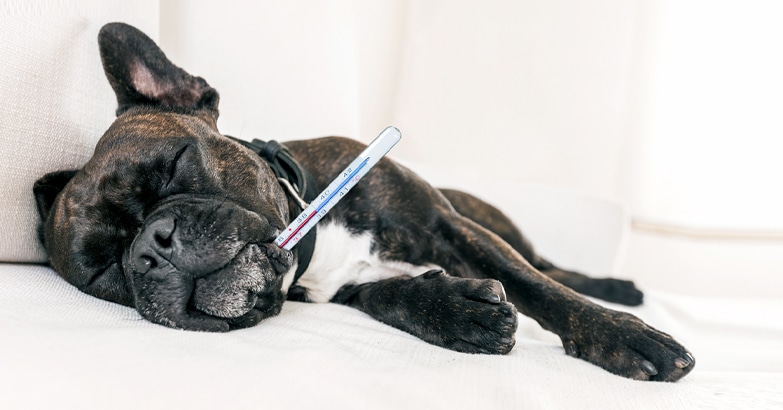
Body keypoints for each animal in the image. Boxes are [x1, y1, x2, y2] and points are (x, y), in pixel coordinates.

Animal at [32, 21, 692, 382]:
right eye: (104, 273)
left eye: (175, 164)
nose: (151, 246)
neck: (315, 236)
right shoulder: (346, 289)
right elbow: (392, 298)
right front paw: (459, 313)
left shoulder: (450, 228)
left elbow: (540, 290)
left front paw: (625, 338)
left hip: (489, 219)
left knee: (548, 266)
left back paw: (615, 288)